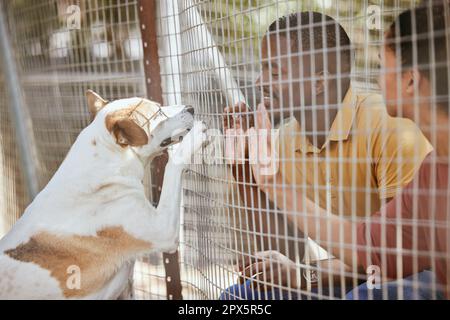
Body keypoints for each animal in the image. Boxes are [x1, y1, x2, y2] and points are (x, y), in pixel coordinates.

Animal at [0, 90, 207, 300]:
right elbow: (172, 166)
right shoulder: (162, 230)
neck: (106, 165)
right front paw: (193, 139)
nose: (191, 108)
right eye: (158, 112)